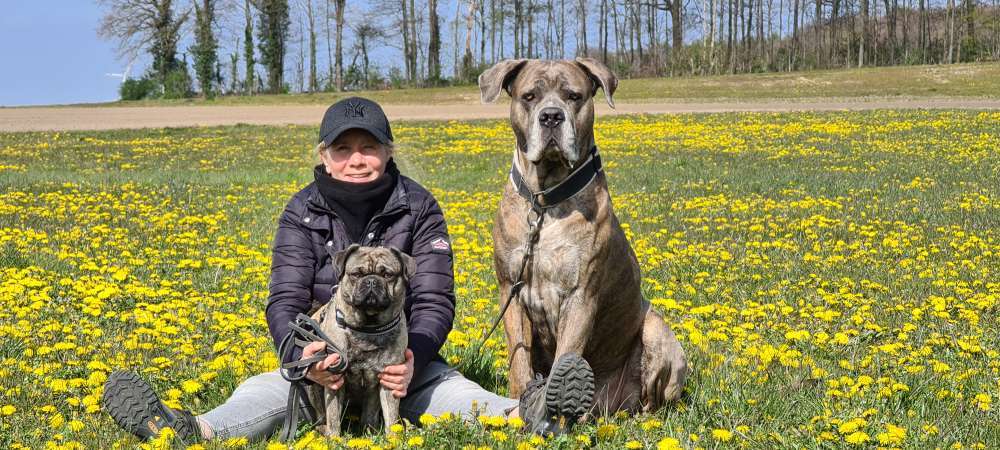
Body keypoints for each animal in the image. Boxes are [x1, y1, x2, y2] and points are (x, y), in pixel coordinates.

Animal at [482, 59, 688, 414]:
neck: (545, 202)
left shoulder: (580, 296)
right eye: (529, 96)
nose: (552, 116)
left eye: (574, 96)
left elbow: (566, 356)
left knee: (652, 401)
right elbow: (519, 360)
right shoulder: (511, 290)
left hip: (657, 332)